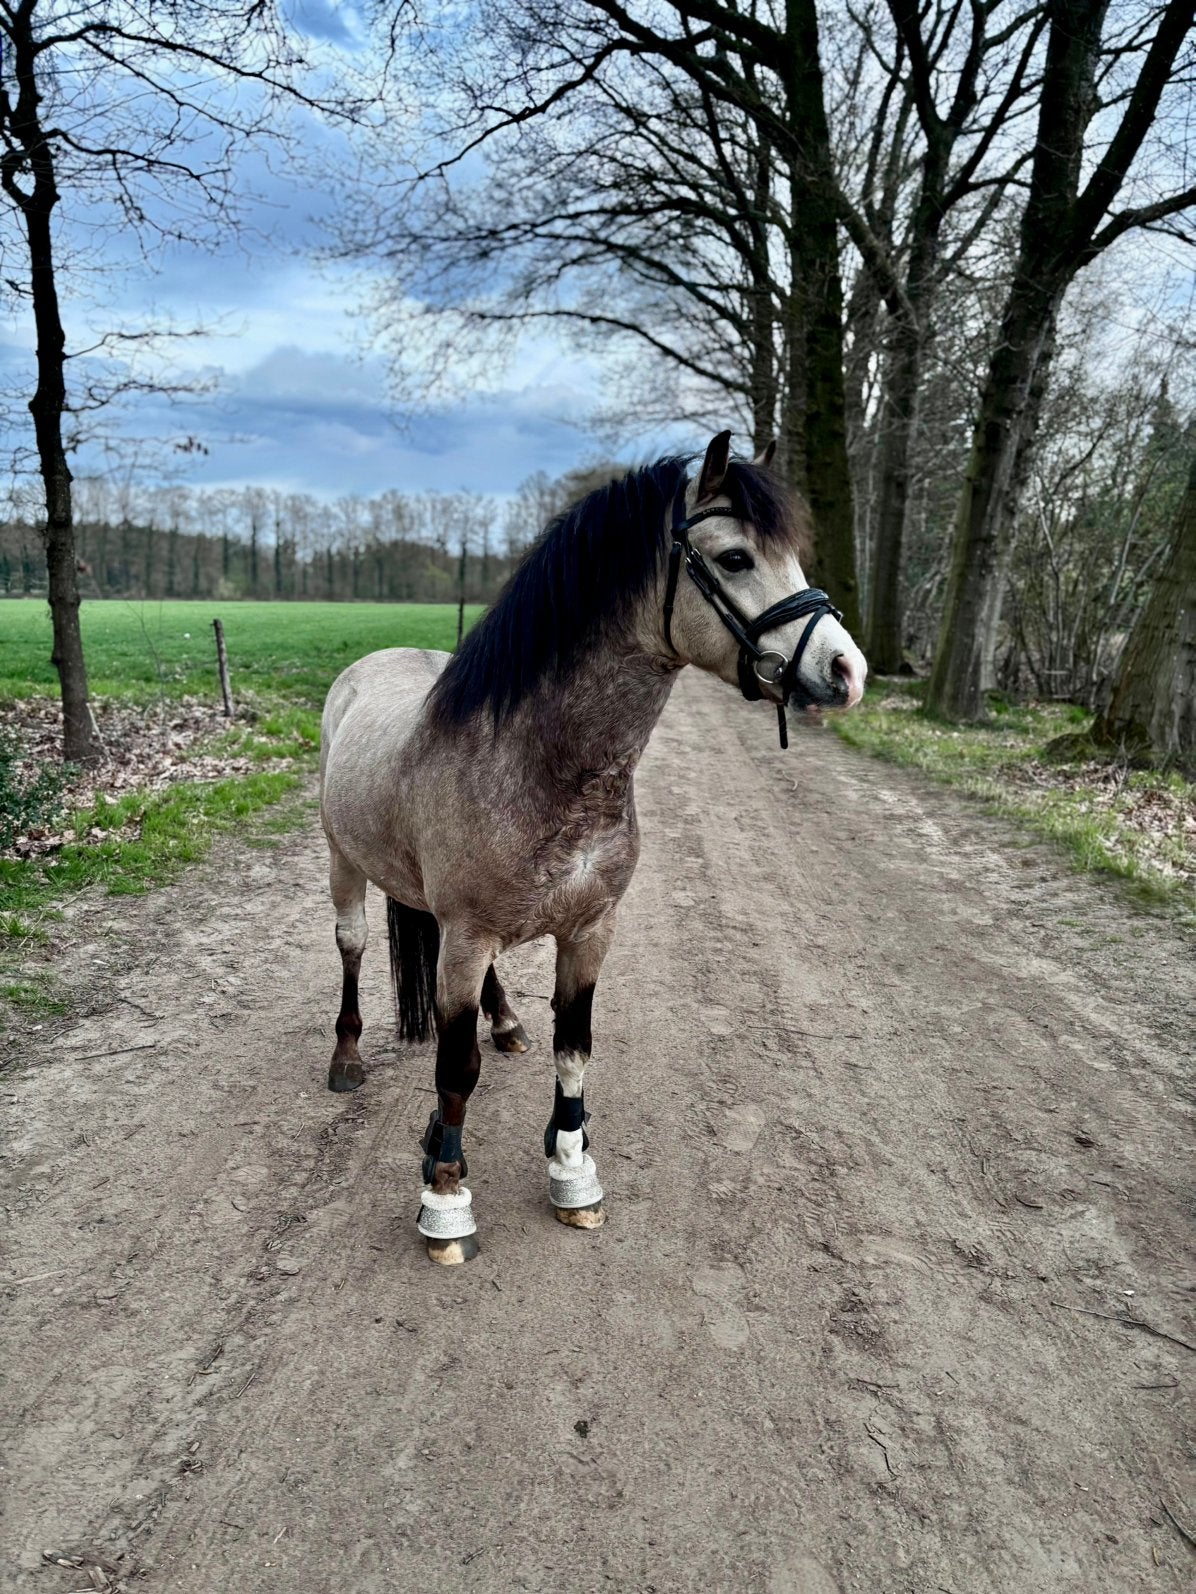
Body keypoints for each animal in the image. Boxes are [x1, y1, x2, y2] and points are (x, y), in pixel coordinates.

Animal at [319, 431, 866, 1263]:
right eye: (736, 557)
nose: (847, 670)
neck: (539, 763)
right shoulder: (468, 935)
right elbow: (455, 1071)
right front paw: (446, 1201)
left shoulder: (588, 929)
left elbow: (572, 1049)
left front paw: (573, 1174)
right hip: (344, 863)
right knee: (350, 948)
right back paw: (347, 1060)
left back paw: (506, 1023)